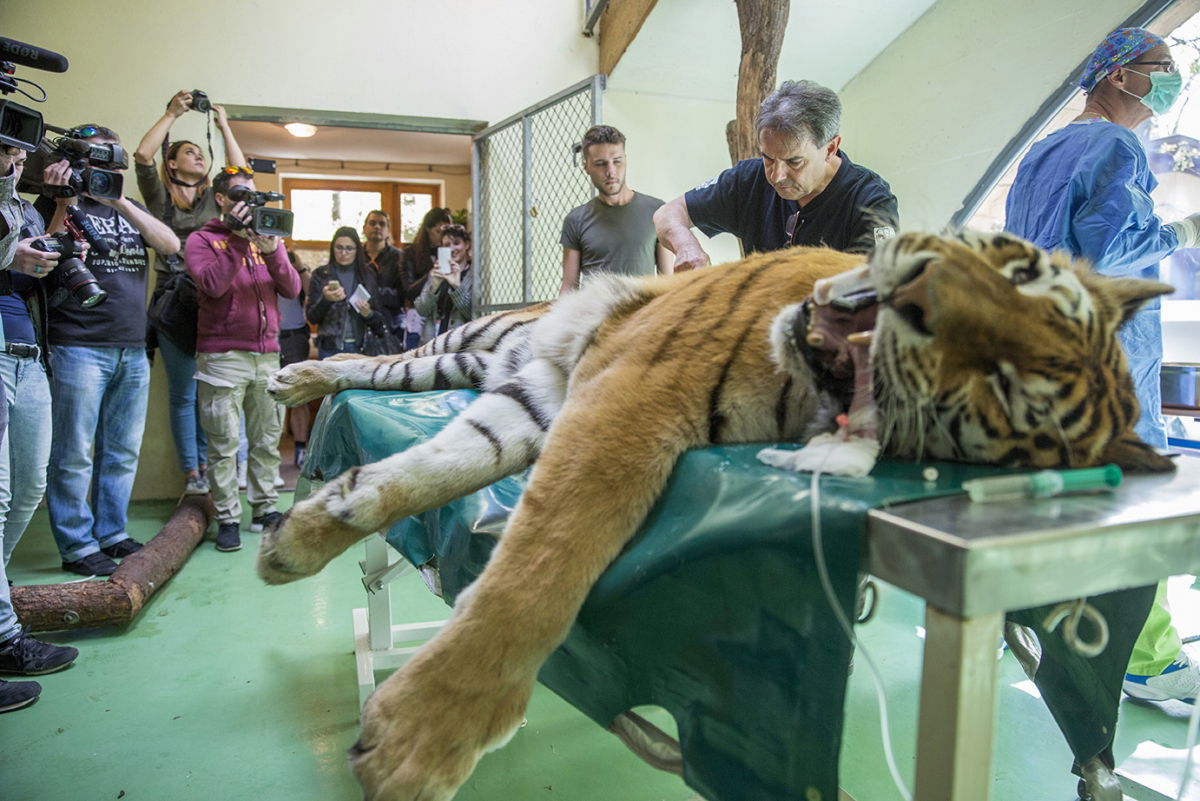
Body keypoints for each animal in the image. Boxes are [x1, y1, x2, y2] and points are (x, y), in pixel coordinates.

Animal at [260, 227, 1171, 796]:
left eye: (1005, 385)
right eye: (1019, 272)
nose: (923, 285)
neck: (801, 392)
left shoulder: (581, 404)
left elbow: (460, 500)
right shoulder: (633, 389)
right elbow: (542, 560)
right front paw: (421, 738)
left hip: (499, 378)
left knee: (410, 422)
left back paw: (297, 533)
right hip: (462, 348)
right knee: (363, 360)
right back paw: (292, 384)